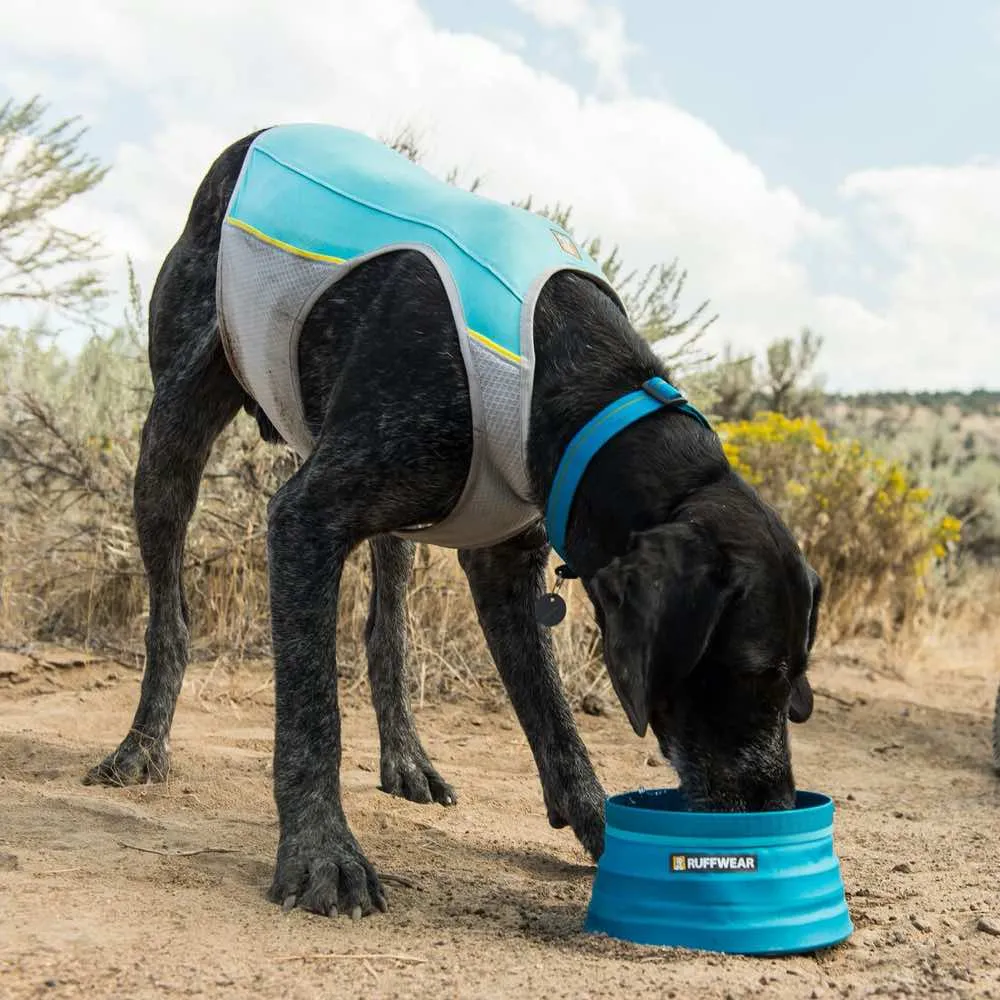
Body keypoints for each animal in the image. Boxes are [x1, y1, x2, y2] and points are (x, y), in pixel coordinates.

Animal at [86, 125, 820, 920]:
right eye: (751, 673)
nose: (776, 806)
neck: (573, 375)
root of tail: (256, 136)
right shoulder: (305, 520)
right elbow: (311, 714)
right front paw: (320, 852)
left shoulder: (505, 562)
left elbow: (553, 718)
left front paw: (600, 826)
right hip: (173, 433)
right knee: (171, 616)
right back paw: (141, 746)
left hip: (390, 514)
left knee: (387, 634)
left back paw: (406, 756)